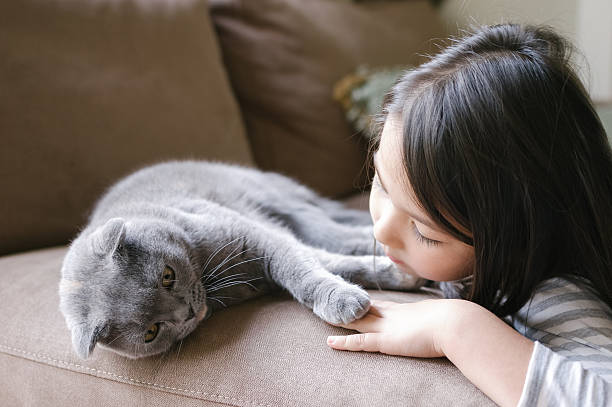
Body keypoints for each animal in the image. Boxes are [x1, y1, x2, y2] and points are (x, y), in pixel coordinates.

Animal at [58, 162, 426, 360]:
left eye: (167, 276)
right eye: (151, 332)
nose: (188, 313)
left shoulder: (258, 235)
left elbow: (304, 270)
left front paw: (348, 298)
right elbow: (326, 263)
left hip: (290, 205)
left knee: (343, 233)